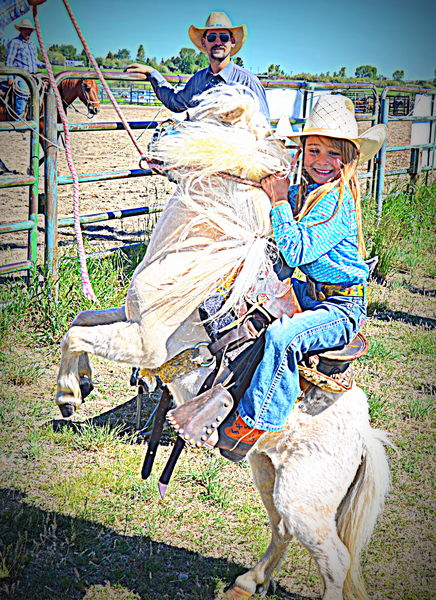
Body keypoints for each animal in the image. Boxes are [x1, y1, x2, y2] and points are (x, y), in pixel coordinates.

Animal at [56, 85, 390, 600]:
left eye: (203, 116)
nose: (154, 137)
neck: (201, 252)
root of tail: (363, 436)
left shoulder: (144, 341)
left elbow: (75, 334)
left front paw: (68, 395)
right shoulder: (131, 320)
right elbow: (81, 319)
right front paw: (82, 386)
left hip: (303, 503)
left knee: (334, 560)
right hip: (266, 473)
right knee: (279, 531)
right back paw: (248, 581)